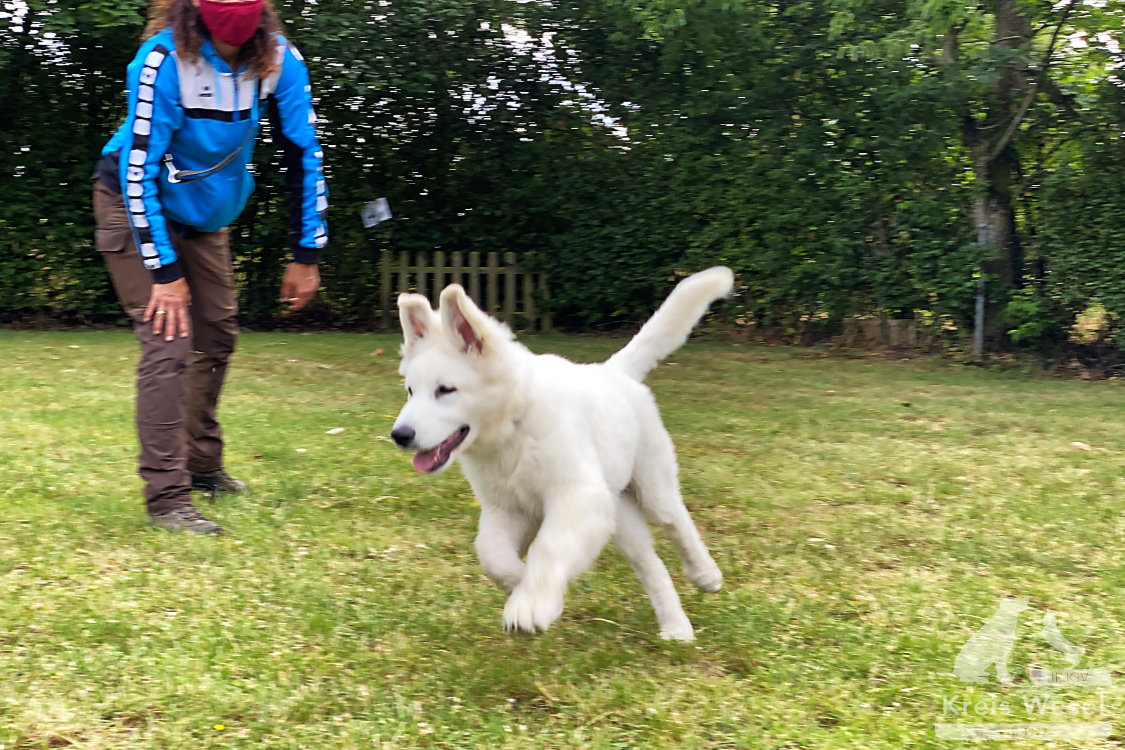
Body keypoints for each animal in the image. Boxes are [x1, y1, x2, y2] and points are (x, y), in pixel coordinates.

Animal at [391, 265, 733, 638]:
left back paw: (706, 575)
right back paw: (676, 627)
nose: (400, 435)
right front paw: (522, 585)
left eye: (445, 390)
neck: (515, 428)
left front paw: (531, 603)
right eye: (410, 391)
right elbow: (491, 553)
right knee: (651, 564)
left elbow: (549, 546)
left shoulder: (578, 497)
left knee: (676, 521)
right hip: (618, 515)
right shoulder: (509, 508)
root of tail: (613, 371)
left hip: (651, 489)